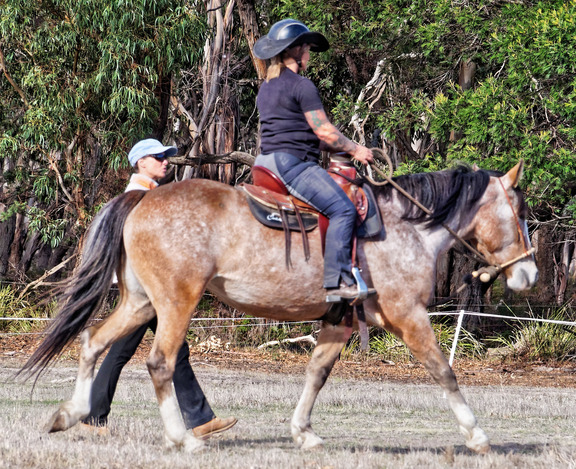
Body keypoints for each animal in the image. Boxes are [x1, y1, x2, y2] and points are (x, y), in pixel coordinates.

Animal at [21, 159, 536, 452]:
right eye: (522, 212)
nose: (529, 274)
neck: (405, 227)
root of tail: (141, 198)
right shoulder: (409, 317)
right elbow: (444, 371)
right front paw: (476, 434)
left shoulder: (339, 323)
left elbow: (316, 374)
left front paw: (303, 432)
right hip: (175, 303)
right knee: (160, 362)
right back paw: (183, 439)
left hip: (140, 303)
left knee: (92, 342)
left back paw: (70, 414)